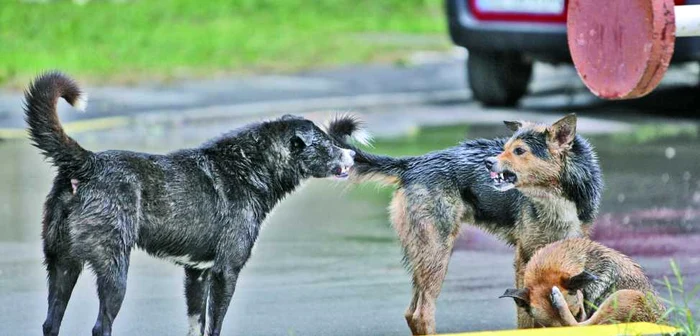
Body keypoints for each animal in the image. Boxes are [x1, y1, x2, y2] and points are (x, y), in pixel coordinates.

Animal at [25, 72, 358, 334]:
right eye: (326, 144)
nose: (353, 155)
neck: (250, 167)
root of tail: (88, 163)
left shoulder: (197, 274)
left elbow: (196, 325)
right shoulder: (225, 272)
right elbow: (215, 326)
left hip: (63, 264)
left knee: (50, 323)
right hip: (114, 270)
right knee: (100, 326)